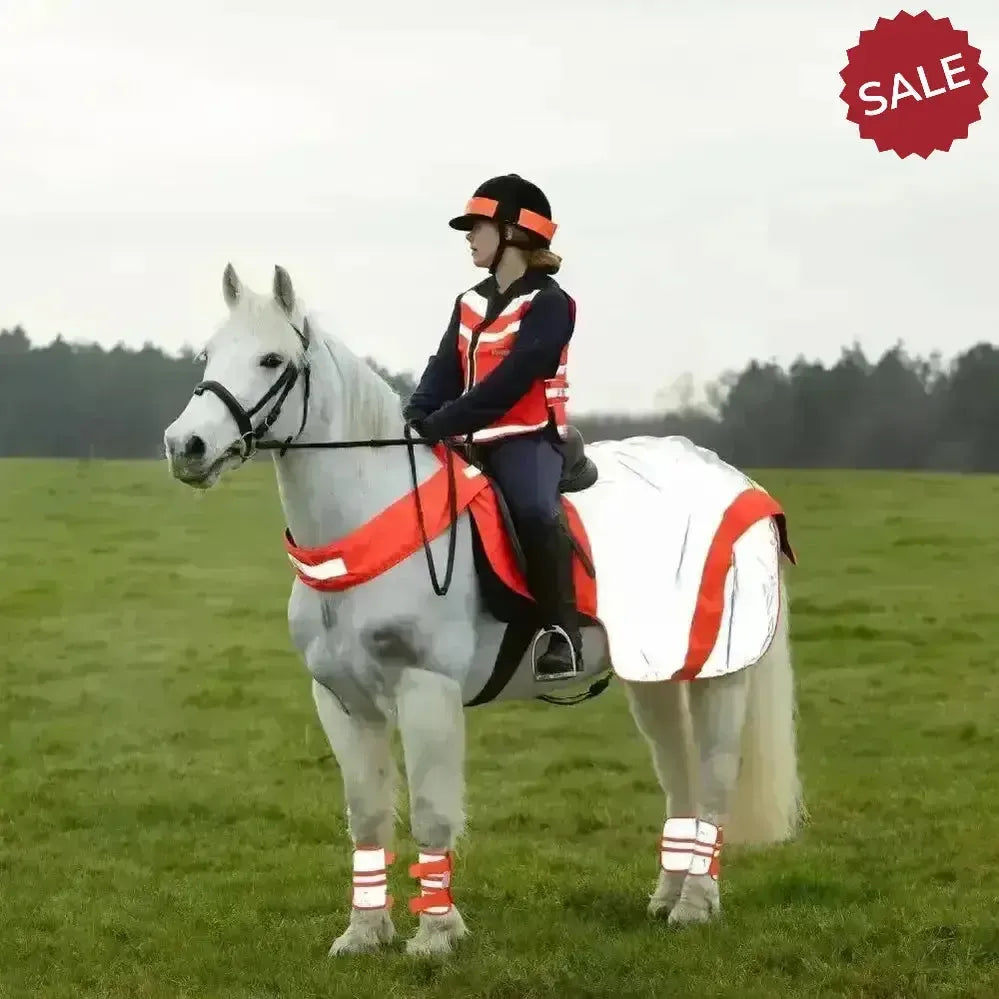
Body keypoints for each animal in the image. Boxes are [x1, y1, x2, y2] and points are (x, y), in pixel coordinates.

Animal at [163, 263, 804, 959]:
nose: (185, 446)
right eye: (208, 354)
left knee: (713, 777)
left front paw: (436, 936)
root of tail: (733, 479)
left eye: (272, 359)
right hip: (654, 677)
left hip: (720, 673)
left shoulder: (427, 691)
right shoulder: (341, 701)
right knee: (678, 774)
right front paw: (363, 933)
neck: (366, 522)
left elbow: (432, 814)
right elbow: (367, 817)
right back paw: (666, 897)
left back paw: (695, 905)